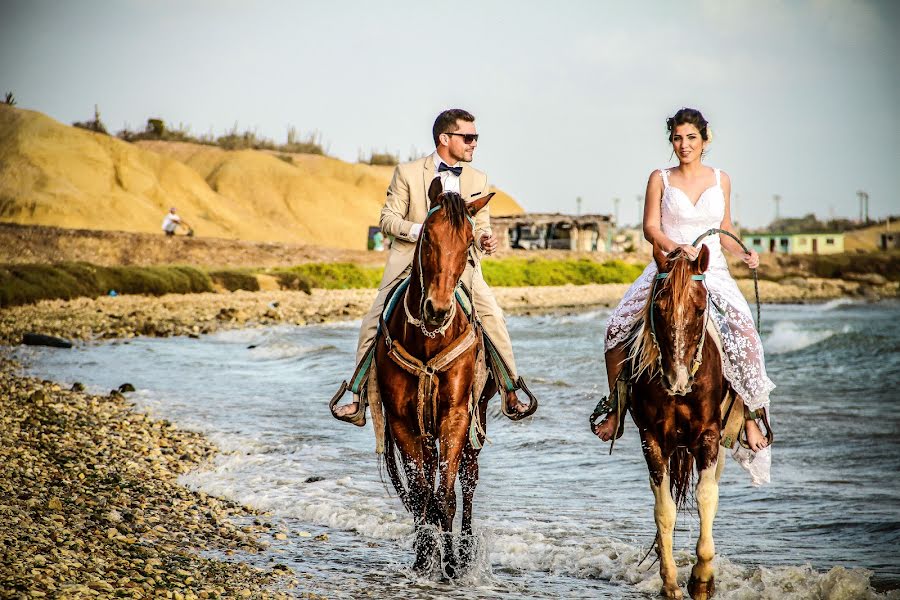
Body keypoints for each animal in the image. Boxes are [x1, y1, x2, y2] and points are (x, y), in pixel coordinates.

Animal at [376, 178, 496, 576]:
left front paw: (452, 565)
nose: (437, 311)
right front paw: (424, 557)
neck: (428, 340)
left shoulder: (456, 415)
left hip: (477, 420)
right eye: (427, 235)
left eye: (469, 241)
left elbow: (444, 496)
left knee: (468, 481)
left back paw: (465, 552)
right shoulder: (402, 422)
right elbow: (420, 495)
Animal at [628, 245, 728, 600]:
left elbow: (706, 497)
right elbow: (665, 509)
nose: (677, 379)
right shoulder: (652, 439)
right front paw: (670, 581)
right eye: (659, 309)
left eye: (699, 310)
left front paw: (702, 578)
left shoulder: (709, 436)